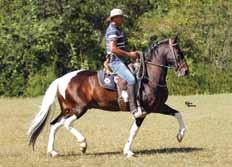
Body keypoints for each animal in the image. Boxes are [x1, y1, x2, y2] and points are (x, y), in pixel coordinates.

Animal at [28, 36, 189, 157]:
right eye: (179, 52)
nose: (185, 71)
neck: (149, 78)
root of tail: (61, 79)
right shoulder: (143, 111)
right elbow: (134, 131)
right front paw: (128, 151)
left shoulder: (158, 106)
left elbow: (178, 113)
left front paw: (180, 135)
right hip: (78, 109)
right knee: (66, 124)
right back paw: (83, 144)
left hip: (68, 109)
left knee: (54, 124)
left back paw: (53, 151)